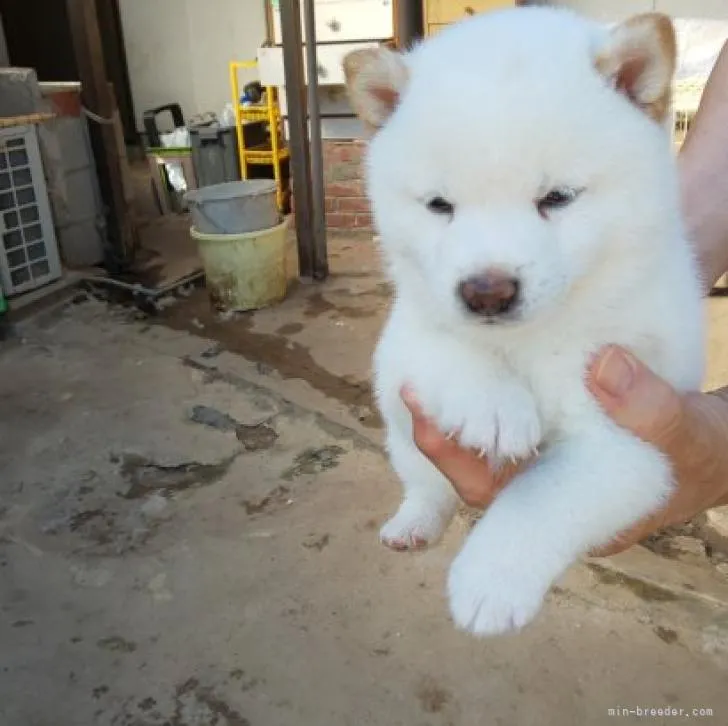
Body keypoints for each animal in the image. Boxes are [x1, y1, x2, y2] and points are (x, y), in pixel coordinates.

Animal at [344, 7, 708, 636]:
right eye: (439, 205)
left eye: (557, 197)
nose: (485, 293)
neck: (535, 342)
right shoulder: (404, 337)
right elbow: (445, 346)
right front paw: (494, 406)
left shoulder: (629, 440)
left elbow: (540, 497)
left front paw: (491, 580)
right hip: (402, 439)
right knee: (426, 484)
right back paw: (414, 522)